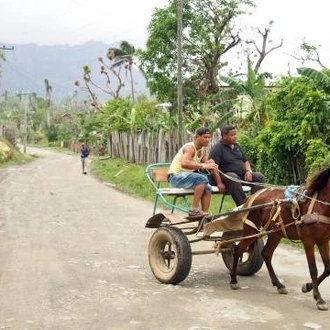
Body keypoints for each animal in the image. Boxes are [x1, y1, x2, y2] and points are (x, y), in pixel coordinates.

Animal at [229, 166, 330, 310]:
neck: (319, 206)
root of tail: (254, 195)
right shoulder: (308, 242)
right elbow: (313, 269)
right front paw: (318, 298)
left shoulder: (323, 241)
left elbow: (327, 268)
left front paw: (307, 287)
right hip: (251, 229)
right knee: (237, 250)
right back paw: (233, 280)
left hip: (275, 234)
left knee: (266, 254)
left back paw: (278, 284)